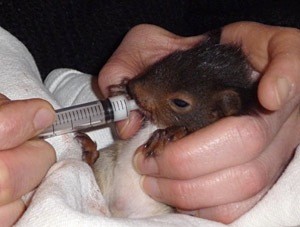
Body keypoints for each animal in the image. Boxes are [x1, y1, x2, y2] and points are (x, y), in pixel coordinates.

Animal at [78, 29, 260, 217]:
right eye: (170, 57)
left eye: (180, 103)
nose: (133, 87)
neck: (157, 124)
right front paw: (121, 89)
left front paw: (169, 134)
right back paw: (90, 152)